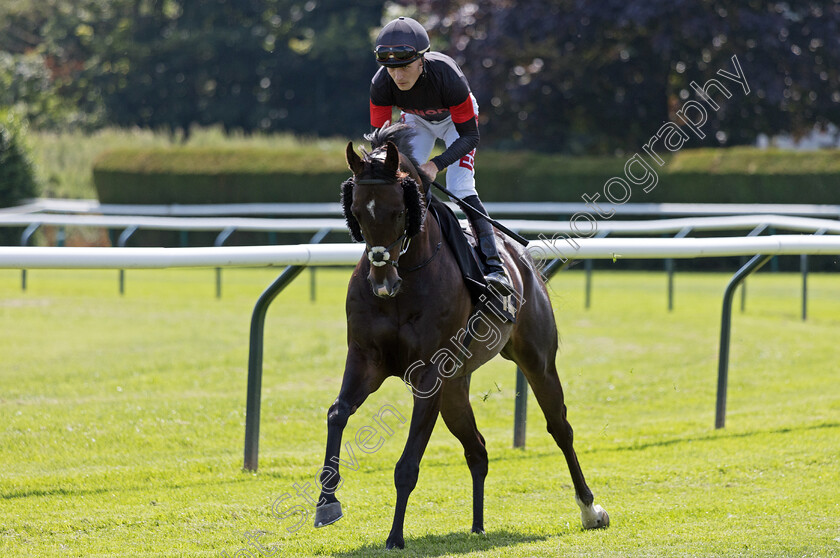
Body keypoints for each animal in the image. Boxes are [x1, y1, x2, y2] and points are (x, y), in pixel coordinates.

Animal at [312, 123, 608, 552]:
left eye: (399, 211)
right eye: (357, 213)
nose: (382, 282)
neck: (407, 281)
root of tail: (521, 259)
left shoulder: (429, 375)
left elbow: (407, 464)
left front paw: (395, 536)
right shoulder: (367, 358)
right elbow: (337, 413)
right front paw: (327, 502)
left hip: (537, 361)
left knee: (560, 429)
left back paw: (589, 510)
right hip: (456, 387)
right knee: (478, 448)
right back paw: (478, 525)